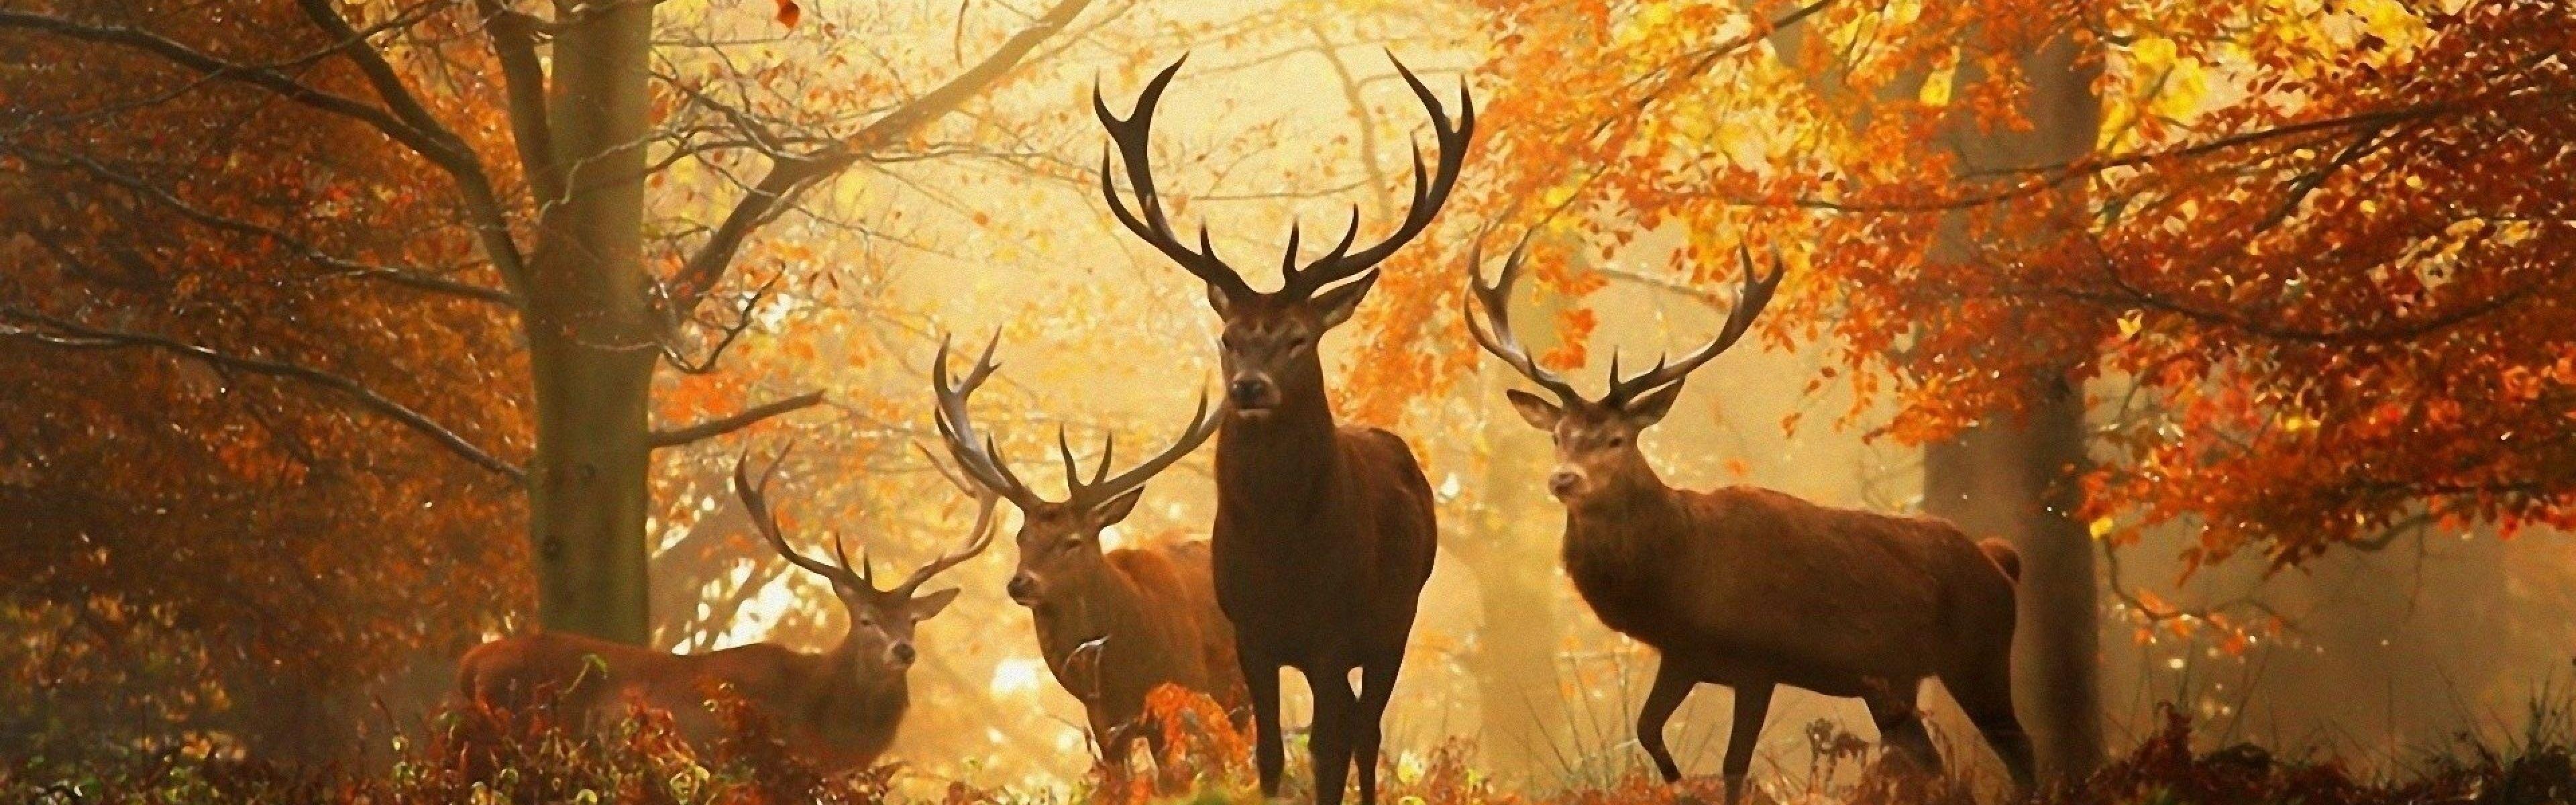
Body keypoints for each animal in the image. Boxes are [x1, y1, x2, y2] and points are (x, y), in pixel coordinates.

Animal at [927, 334, 1249, 789]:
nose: (1020, 583)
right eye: (1022, 537)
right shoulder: (1104, 723)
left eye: (1073, 541)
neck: (1126, 667)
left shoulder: (1185, 691)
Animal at [1093, 54, 1460, 805]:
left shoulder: (1333, 633)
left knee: (1366, 734)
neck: (1283, 554)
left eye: (1298, 337)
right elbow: (1267, 754)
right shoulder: (1250, 635)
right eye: (1229, 337)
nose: (1249, 388)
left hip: (1395, 620)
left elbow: (1327, 749)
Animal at [1462, 236, 2036, 803]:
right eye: (1557, 436)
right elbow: (1648, 730)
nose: (1564, 479)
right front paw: (1677, 785)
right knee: (1936, 766)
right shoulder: (1683, 655)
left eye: (1616, 439)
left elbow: (1735, 766)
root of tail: (1999, 561)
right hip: (1893, 683)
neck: (1680, 576)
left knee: (2021, 750)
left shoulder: (1759, 661)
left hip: (1980, 654)